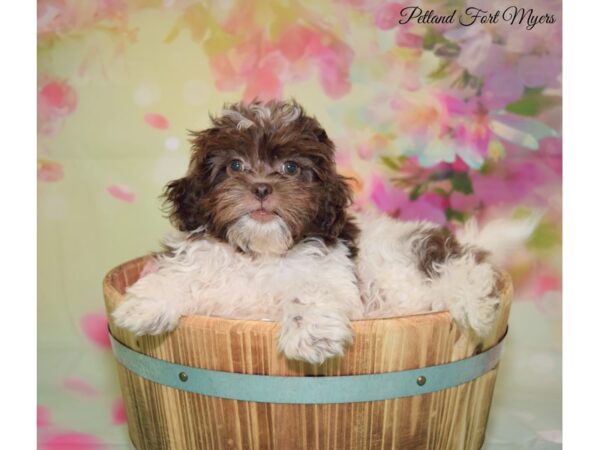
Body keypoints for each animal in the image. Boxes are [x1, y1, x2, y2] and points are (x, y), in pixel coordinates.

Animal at [111, 99, 528, 366]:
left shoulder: (330, 273)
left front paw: (310, 336)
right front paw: (144, 304)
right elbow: (179, 273)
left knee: (465, 269)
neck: (260, 252)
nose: (261, 188)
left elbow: (309, 292)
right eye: (235, 165)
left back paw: (473, 303)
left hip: (416, 256)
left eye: (291, 168)